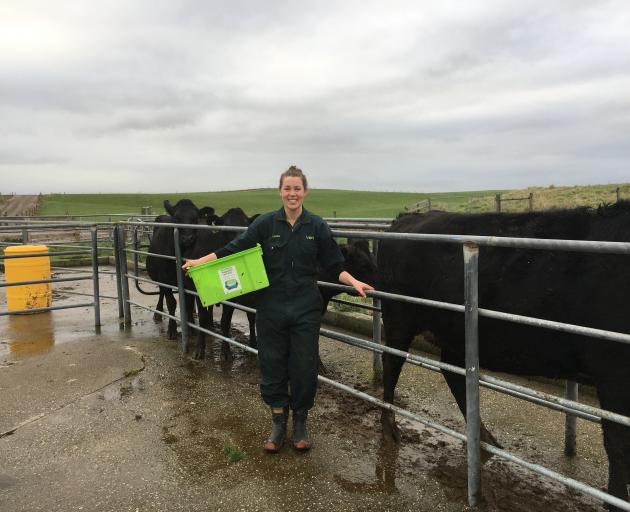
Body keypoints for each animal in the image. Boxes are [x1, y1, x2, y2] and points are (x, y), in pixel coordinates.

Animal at [378, 203, 630, 508]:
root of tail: (410, 217)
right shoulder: (613, 371)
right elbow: (618, 441)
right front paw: (617, 498)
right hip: (399, 317)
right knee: (392, 361)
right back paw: (390, 424)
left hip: (454, 333)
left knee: (453, 372)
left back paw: (483, 438)